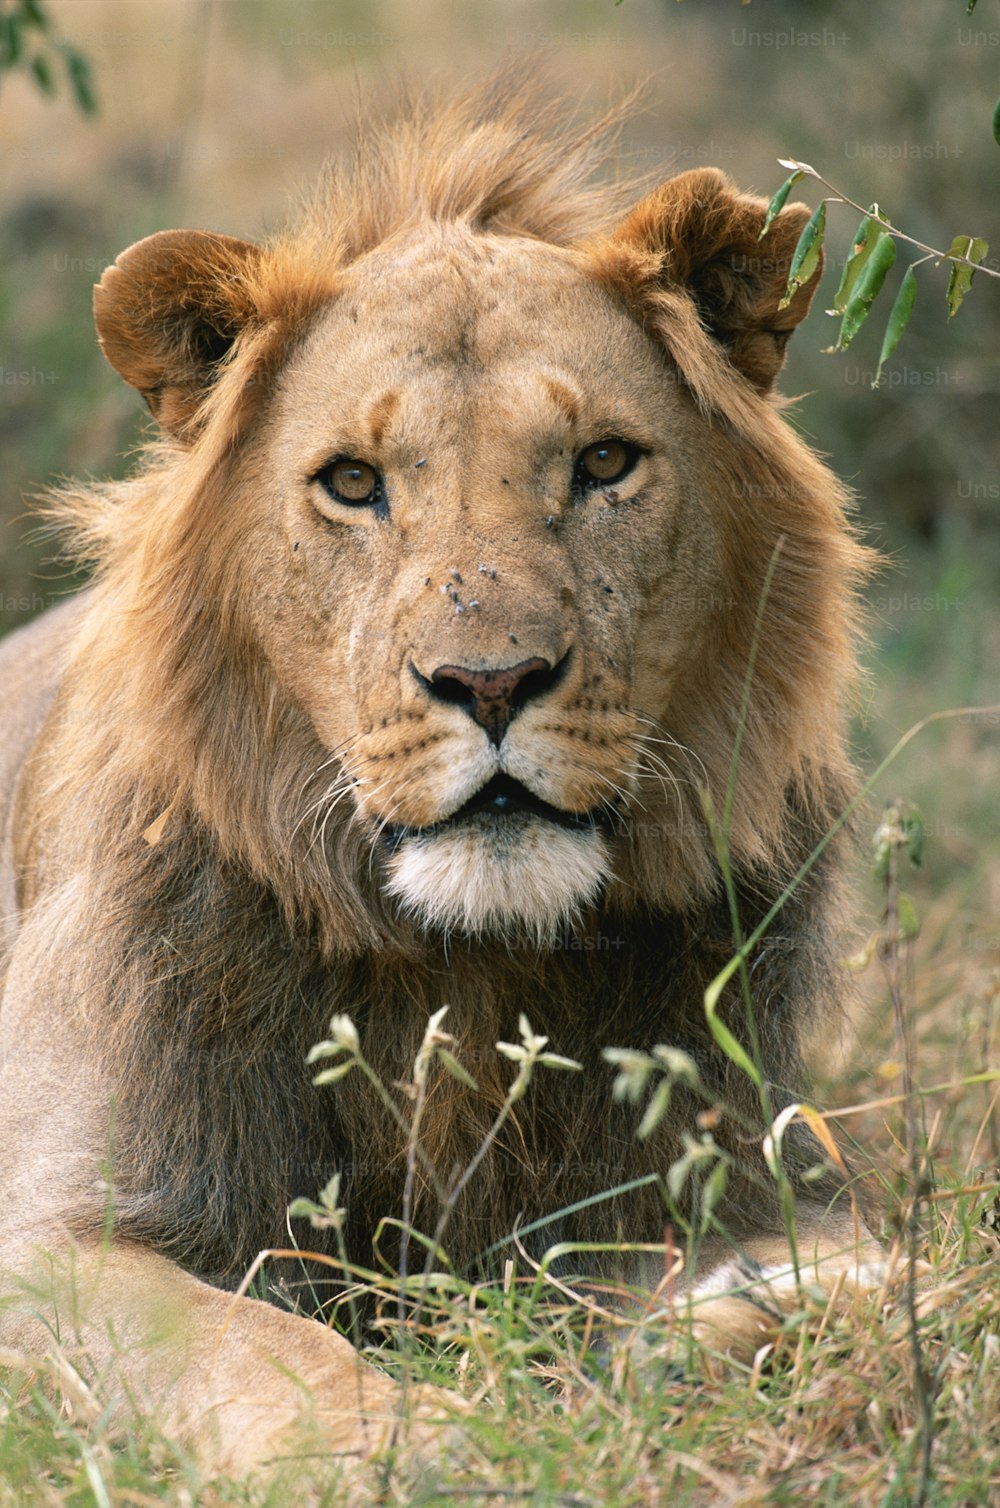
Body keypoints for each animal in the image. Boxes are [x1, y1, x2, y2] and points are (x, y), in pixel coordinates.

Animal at [0, 79, 886, 1471]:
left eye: (602, 462)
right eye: (353, 483)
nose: (492, 679)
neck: (465, 976)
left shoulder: (744, 1167)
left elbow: (863, 1272)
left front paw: (730, 1321)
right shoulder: (57, 1231)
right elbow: (266, 1343)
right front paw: (422, 1441)